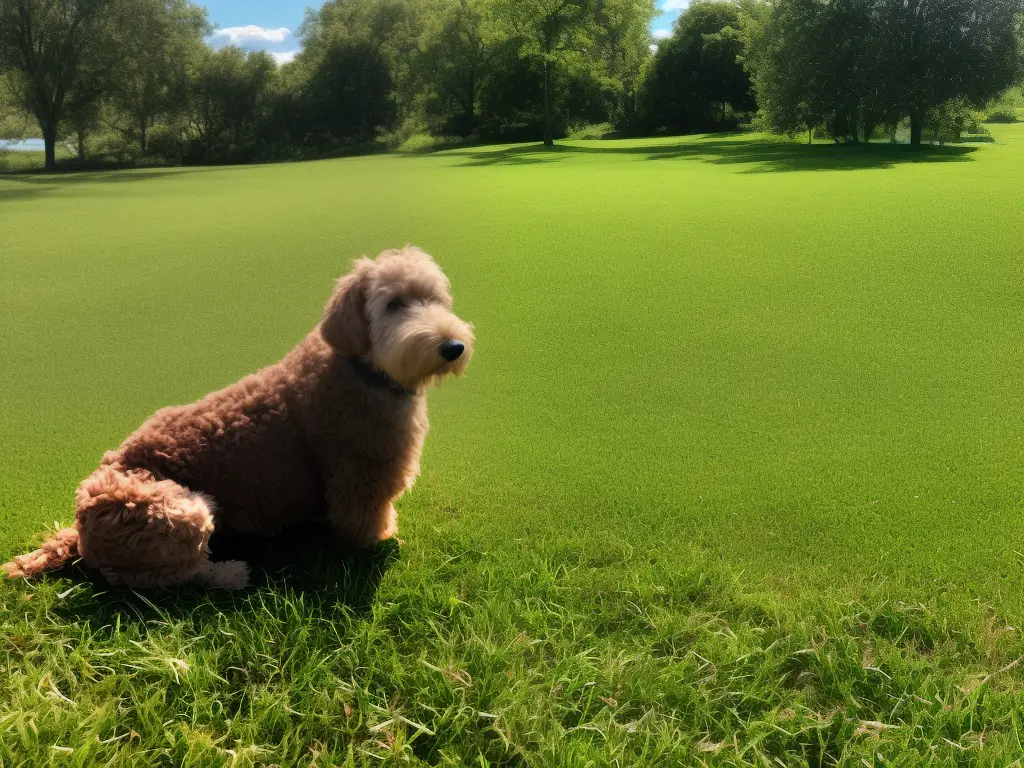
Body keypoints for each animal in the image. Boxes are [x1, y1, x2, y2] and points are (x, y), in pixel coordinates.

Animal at [3, 246, 475, 589]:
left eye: (436, 298)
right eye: (393, 304)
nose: (453, 347)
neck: (361, 366)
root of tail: (79, 524)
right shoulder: (364, 473)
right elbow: (364, 519)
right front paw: (382, 539)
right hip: (176, 513)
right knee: (159, 578)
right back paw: (230, 574)